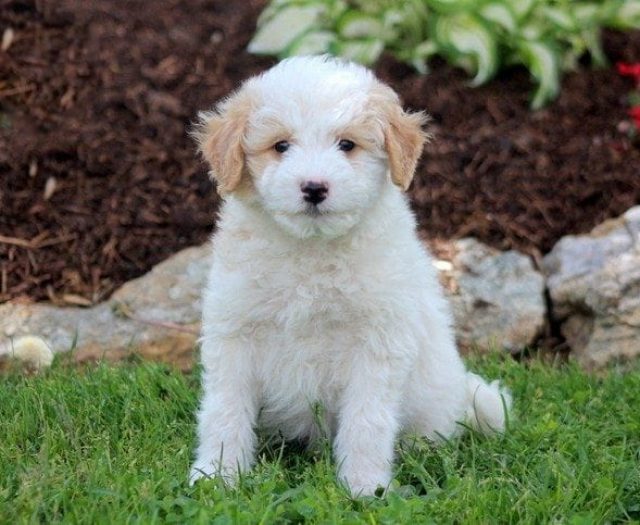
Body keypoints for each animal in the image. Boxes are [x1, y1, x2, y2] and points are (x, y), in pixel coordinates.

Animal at [188, 55, 512, 494]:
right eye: (281, 146)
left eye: (347, 145)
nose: (314, 188)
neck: (311, 252)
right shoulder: (234, 331)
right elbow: (224, 409)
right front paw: (217, 475)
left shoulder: (377, 344)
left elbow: (366, 421)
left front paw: (365, 487)